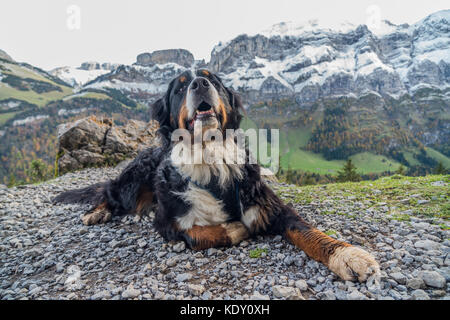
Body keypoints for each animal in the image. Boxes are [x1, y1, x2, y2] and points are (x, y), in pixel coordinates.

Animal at [54, 68, 382, 282]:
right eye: (180, 88)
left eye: (212, 79)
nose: (199, 84)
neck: (210, 159)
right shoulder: (167, 221)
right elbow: (195, 234)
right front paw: (233, 229)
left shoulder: (268, 205)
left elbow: (307, 231)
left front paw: (348, 256)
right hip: (133, 184)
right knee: (110, 191)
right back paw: (97, 212)